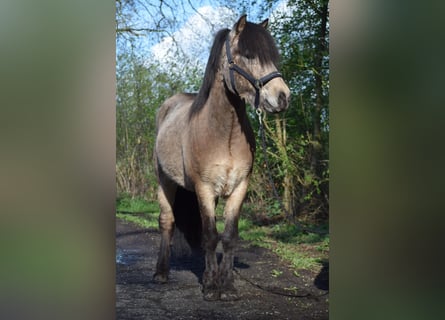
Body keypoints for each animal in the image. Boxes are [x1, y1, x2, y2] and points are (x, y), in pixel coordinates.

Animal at [153, 14, 292, 300]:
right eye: (248, 55)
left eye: (273, 56)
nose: (283, 97)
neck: (223, 133)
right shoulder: (204, 188)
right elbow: (209, 235)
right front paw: (210, 286)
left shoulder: (239, 188)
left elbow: (227, 237)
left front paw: (226, 285)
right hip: (165, 181)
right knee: (167, 222)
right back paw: (161, 273)